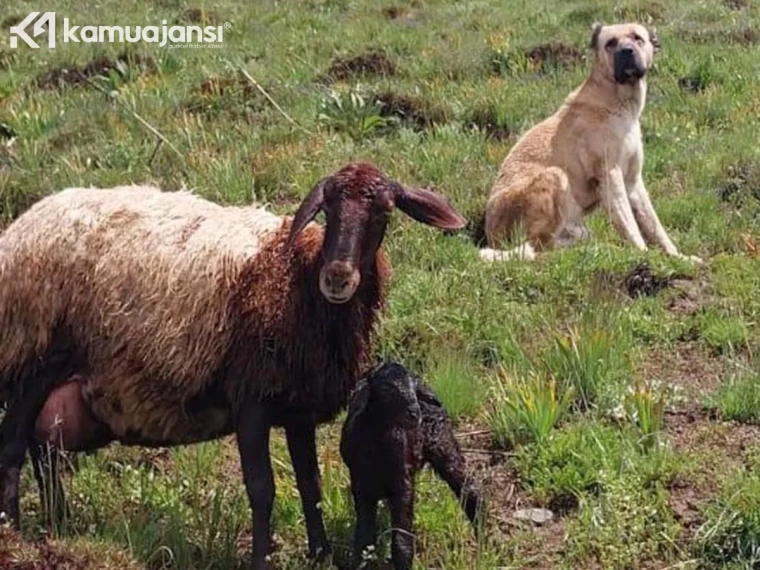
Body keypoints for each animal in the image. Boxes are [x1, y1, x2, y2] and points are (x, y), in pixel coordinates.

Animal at [342, 360, 484, 568]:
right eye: (386, 388)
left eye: (413, 389)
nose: (414, 413)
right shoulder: (361, 486)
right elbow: (364, 540)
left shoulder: (402, 485)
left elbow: (401, 542)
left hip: (442, 442)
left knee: (469, 489)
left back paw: (484, 541)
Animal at [480, 21, 700, 262]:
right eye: (611, 43)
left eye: (637, 38)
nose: (627, 51)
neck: (618, 102)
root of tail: (490, 233)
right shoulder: (610, 176)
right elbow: (631, 226)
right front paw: (644, 255)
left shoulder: (633, 182)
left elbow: (655, 226)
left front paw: (679, 258)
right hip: (555, 176)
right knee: (538, 248)